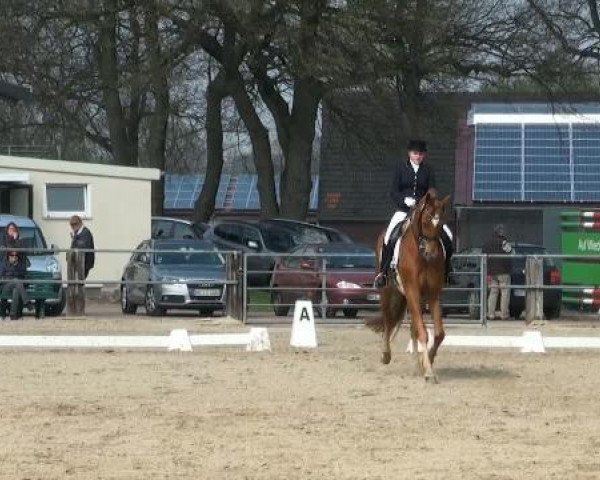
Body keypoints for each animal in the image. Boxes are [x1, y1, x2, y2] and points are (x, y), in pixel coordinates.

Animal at [366, 188, 450, 382]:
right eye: (426, 220)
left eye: (441, 223)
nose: (431, 254)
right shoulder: (412, 291)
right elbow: (422, 332)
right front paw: (428, 371)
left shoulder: (433, 294)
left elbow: (438, 333)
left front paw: (427, 363)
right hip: (388, 291)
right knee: (388, 320)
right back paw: (386, 354)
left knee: (412, 328)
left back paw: (417, 364)